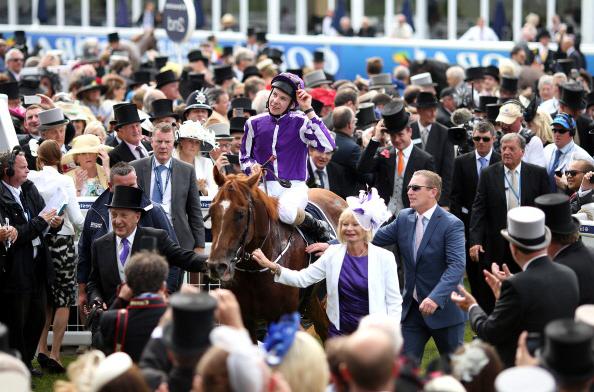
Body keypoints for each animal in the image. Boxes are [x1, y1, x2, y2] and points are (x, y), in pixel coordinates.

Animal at [207, 168, 344, 340]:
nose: (216, 266)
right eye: (211, 211)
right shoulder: (245, 318)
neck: (253, 269)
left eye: (240, 213)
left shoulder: (281, 317)